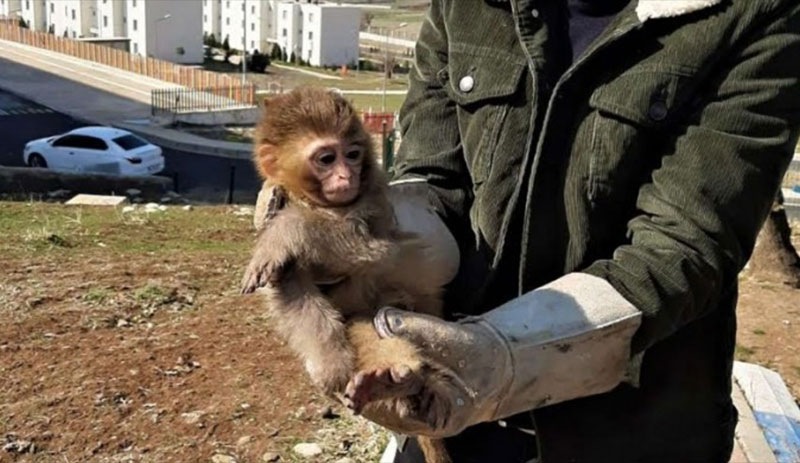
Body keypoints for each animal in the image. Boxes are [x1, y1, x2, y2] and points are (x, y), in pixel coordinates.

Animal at [241, 88, 456, 463]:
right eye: (327, 158)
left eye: (353, 154)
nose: (347, 176)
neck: (315, 202)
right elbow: (291, 290)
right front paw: (331, 364)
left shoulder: (373, 203)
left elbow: (370, 248)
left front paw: (284, 233)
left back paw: (403, 380)